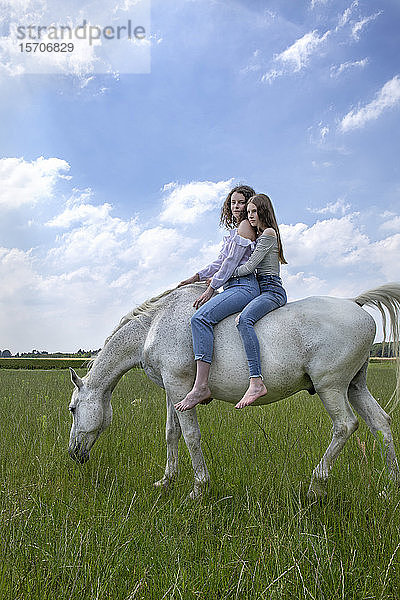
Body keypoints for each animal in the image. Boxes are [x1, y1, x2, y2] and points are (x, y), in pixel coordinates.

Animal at [69, 284, 400, 500]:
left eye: (72, 409)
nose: (73, 453)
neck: (155, 325)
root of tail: (355, 302)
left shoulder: (179, 386)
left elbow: (191, 436)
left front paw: (198, 489)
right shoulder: (173, 391)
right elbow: (171, 434)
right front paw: (166, 481)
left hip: (330, 388)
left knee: (345, 426)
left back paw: (315, 487)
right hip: (355, 386)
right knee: (381, 423)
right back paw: (390, 487)